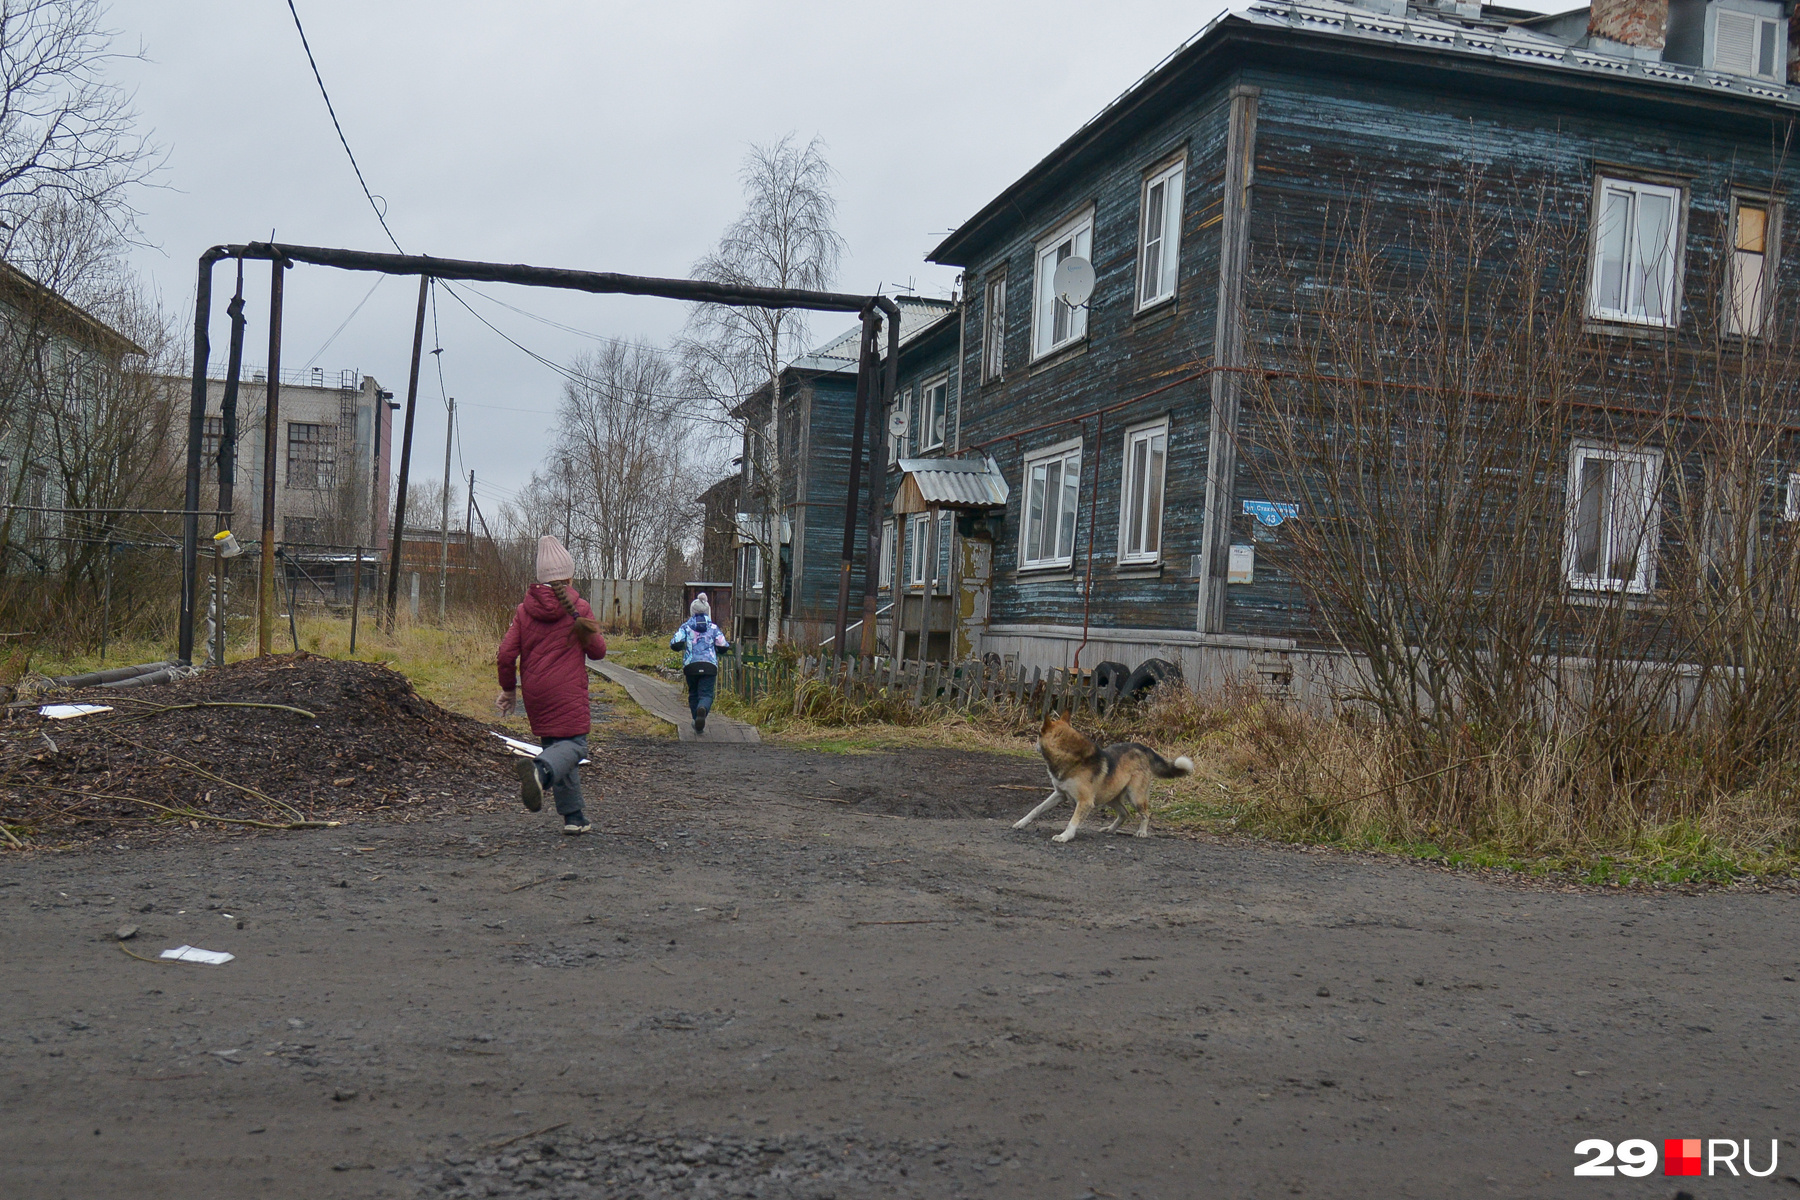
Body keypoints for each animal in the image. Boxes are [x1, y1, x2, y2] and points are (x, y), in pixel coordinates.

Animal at [1015, 712, 1195, 845]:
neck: (1071, 757)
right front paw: (1021, 823)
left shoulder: (1085, 802)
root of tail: (1142, 748)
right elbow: (1037, 809)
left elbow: (1072, 821)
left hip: (1135, 796)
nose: (1034, 746)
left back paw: (1141, 832)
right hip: (1111, 797)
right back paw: (1110, 829)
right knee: (1124, 813)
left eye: (1038, 734)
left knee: (1145, 814)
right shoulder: (1059, 794)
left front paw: (1065, 836)